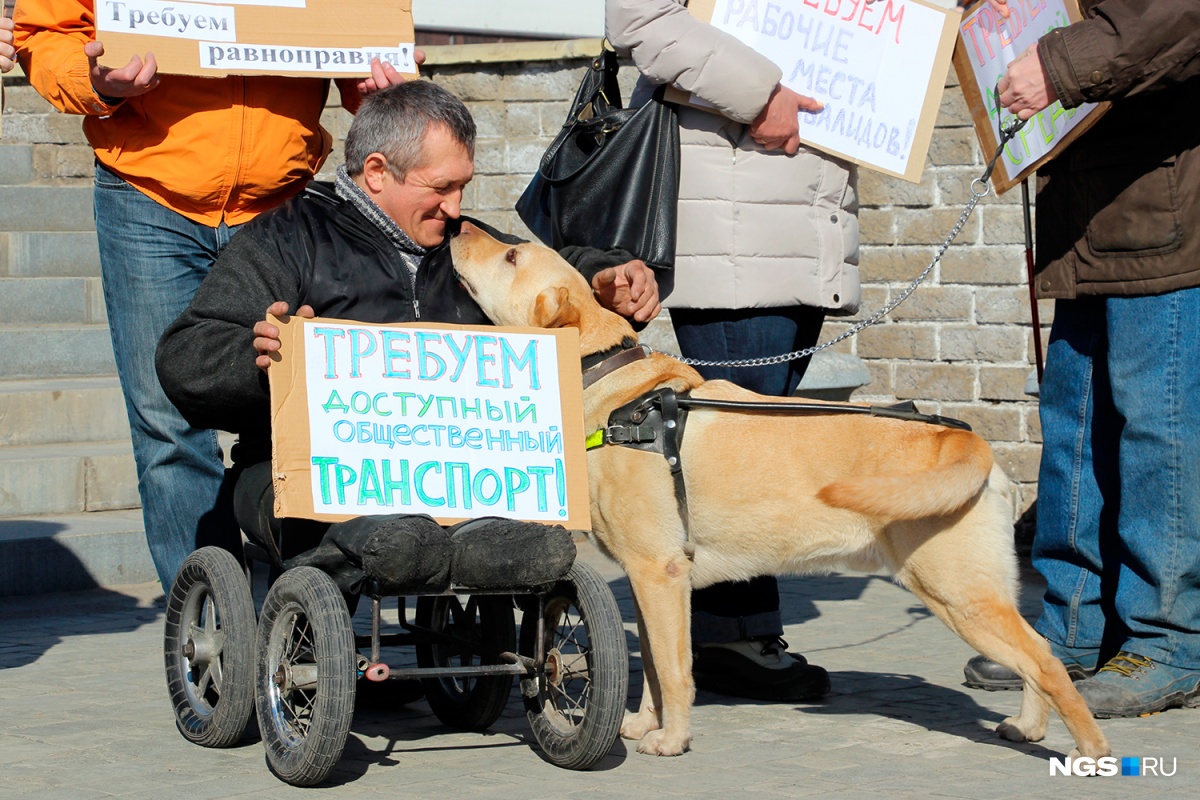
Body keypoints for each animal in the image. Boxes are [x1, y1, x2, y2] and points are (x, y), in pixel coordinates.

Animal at [451, 221, 1113, 762]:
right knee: (1035, 656)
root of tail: (962, 441)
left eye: (511, 255)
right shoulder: (647, 581)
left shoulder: (658, 572)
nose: (458, 226)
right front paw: (644, 724)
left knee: (1047, 662)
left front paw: (672, 739)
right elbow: (657, 673)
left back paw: (1090, 750)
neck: (613, 392)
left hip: (958, 593)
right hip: (984, 590)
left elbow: (674, 668)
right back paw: (1028, 726)